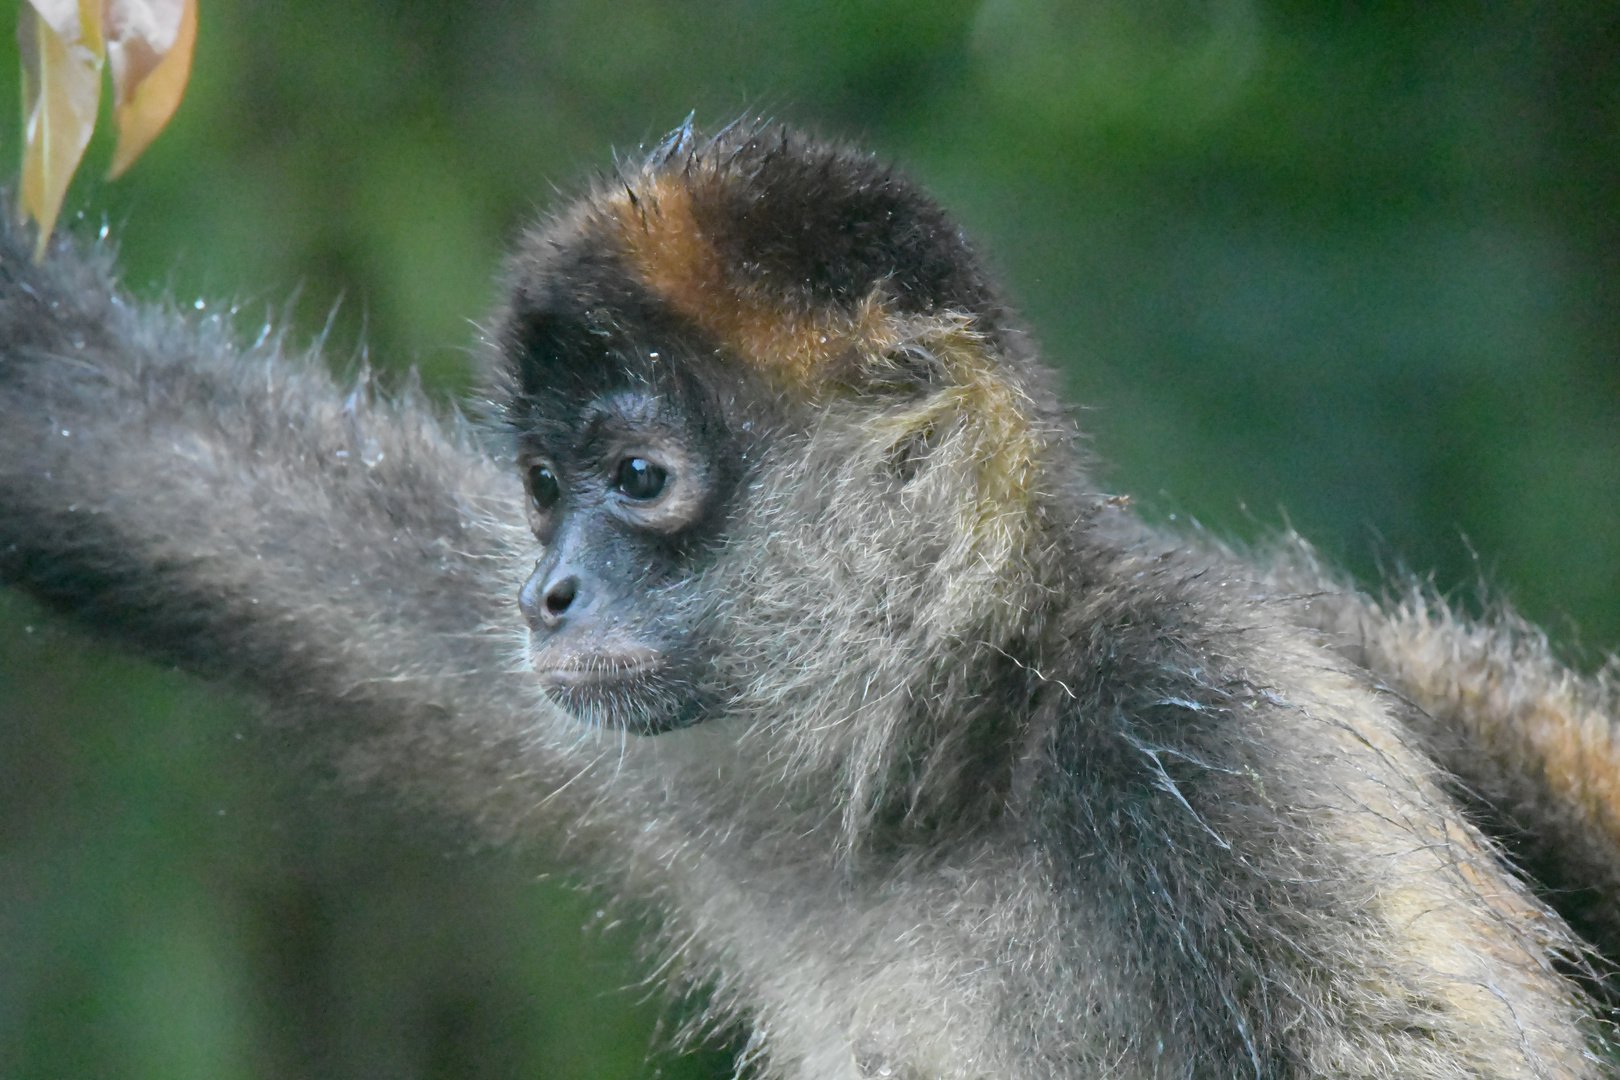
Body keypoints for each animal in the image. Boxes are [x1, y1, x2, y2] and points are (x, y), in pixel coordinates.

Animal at [3, 122, 1620, 1075]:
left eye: (638, 475)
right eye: (540, 483)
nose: (544, 594)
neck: (963, 756)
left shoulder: (1202, 713)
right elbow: (131, 458)